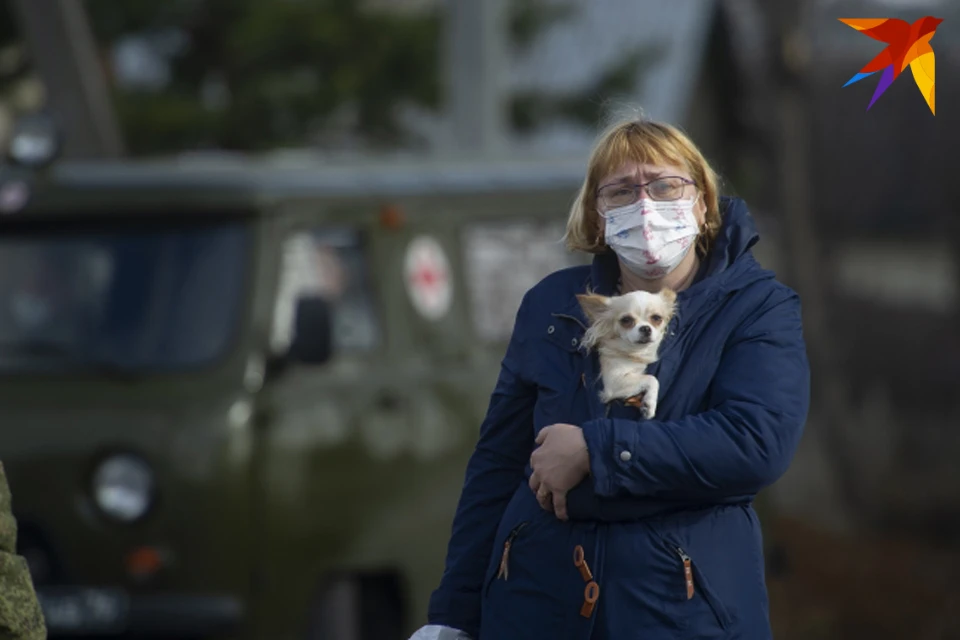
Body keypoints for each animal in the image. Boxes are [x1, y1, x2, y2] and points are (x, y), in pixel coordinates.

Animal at [572, 288, 680, 418]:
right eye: (626, 320)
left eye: (656, 318)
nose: (645, 328)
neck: (635, 354)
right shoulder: (614, 381)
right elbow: (652, 378)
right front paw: (649, 403)